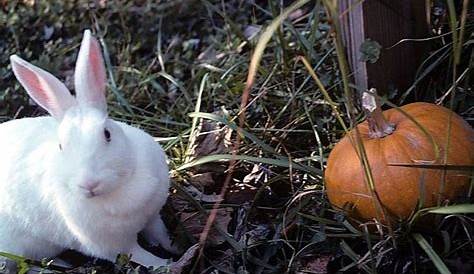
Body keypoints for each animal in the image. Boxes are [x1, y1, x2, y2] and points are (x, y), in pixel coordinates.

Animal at [0, 29, 174, 270]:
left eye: (107, 134)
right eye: (61, 146)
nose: (89, 184)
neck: (118, 189)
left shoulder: (153, 216)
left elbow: (159, 232)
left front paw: (175, 247)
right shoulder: (114, 246)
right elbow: (143, 257)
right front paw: (168, 264)